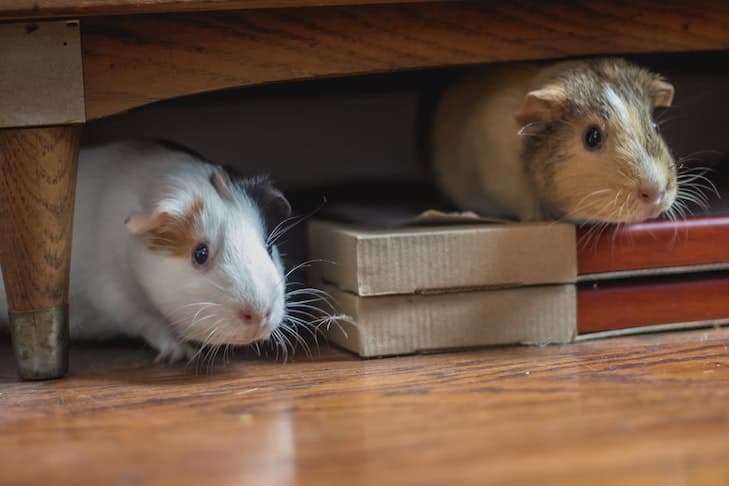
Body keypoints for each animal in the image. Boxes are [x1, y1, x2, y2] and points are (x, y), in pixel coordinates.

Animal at [0, 140, 292, 363]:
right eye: (200, 254)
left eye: (268, 247)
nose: (260, 315)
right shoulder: (116, 298)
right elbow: (150, 324)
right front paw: (181, 354)